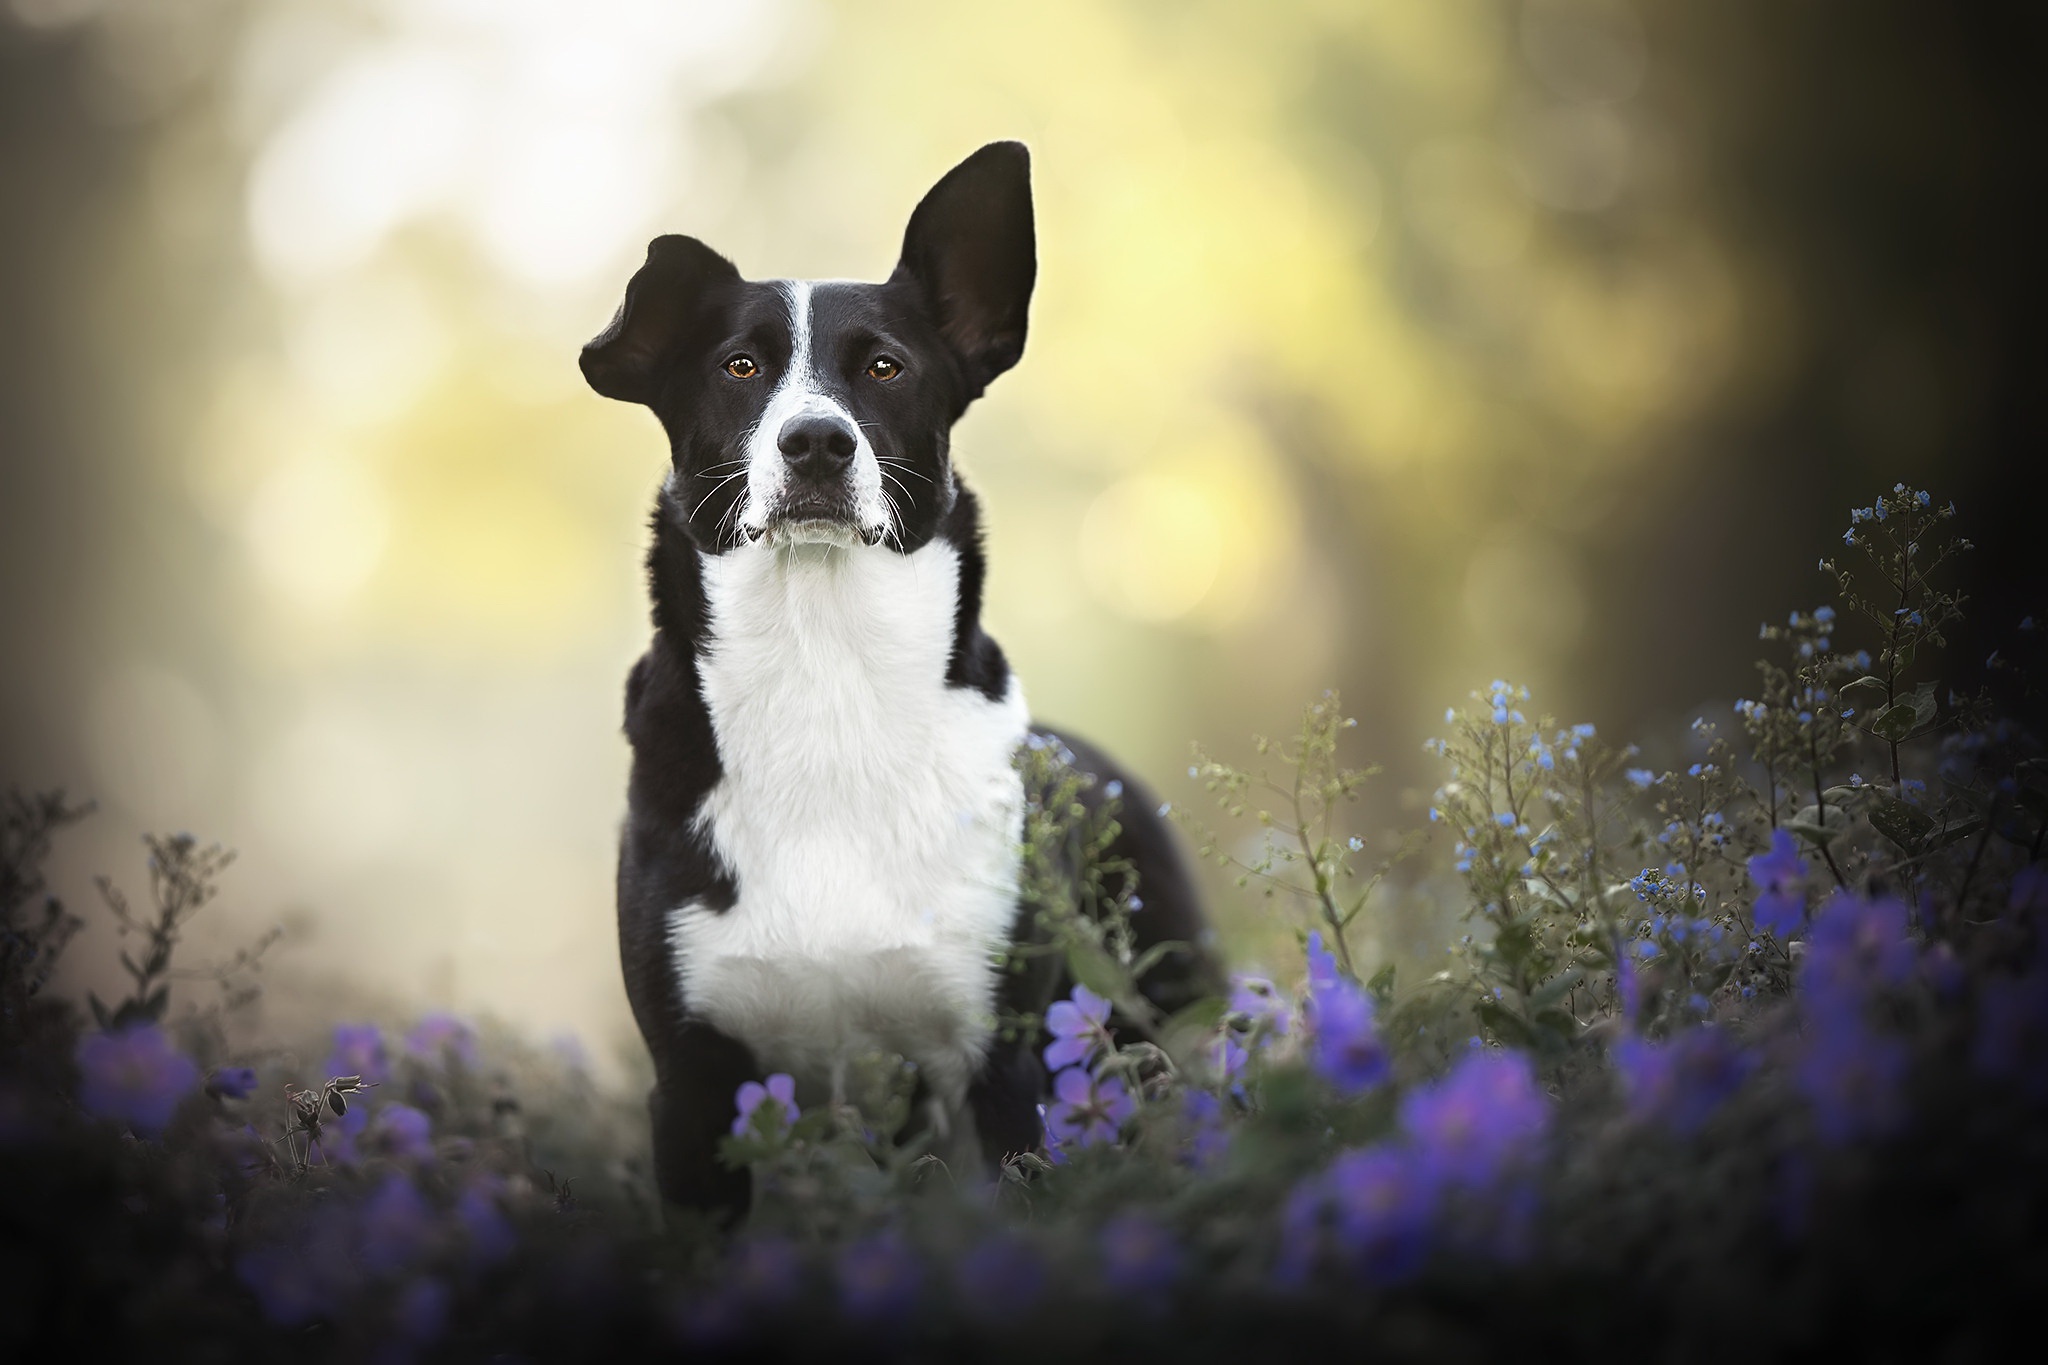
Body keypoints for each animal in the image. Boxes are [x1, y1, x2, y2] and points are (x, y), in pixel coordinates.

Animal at [581, 144, 1212, 1219]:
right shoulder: (694, 1083)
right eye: (739, 366)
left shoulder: (1002, 1059)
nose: (817, 442)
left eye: (886, 366)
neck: (826, 673)